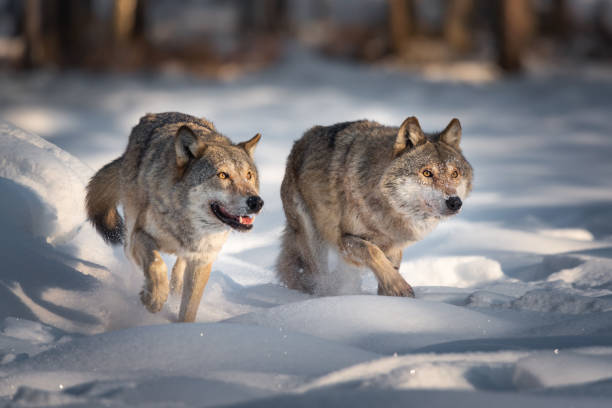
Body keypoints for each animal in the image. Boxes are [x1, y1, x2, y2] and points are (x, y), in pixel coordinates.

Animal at [85, 112, 262, 322]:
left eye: (249, 175)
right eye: (222, 175)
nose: (257, 202)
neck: (186, 224)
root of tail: (151, 116)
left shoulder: (202, 259)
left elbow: (189, 308)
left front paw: (181, 326)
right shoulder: (140, 235)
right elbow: (156, 264)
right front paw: (154, 299)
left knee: (179, 269)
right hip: (129, 237)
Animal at [278, 116, 474, 298]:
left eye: (454, 174)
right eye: (427, 173)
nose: (455, 202)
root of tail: (299, 141)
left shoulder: (395, 247)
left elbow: (389, 266)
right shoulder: (345, 239)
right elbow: (373, 252)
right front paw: (399, 288)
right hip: (314, 241)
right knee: (320, 278)